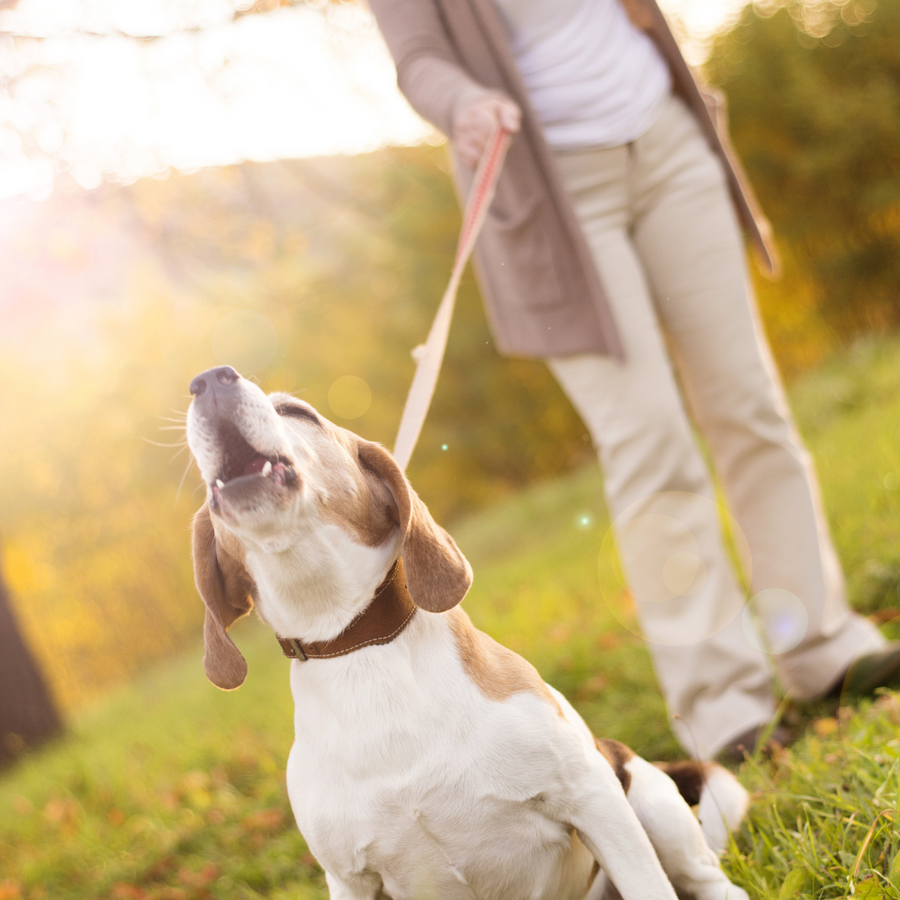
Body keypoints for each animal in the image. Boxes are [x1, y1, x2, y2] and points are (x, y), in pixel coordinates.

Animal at [188, 366, 752, 900]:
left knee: (711, 882)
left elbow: (647, 883)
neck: (357, 645)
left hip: (646, 799)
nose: (208, 379)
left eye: (297, 412)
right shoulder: (349, 879)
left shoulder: (593, 797)